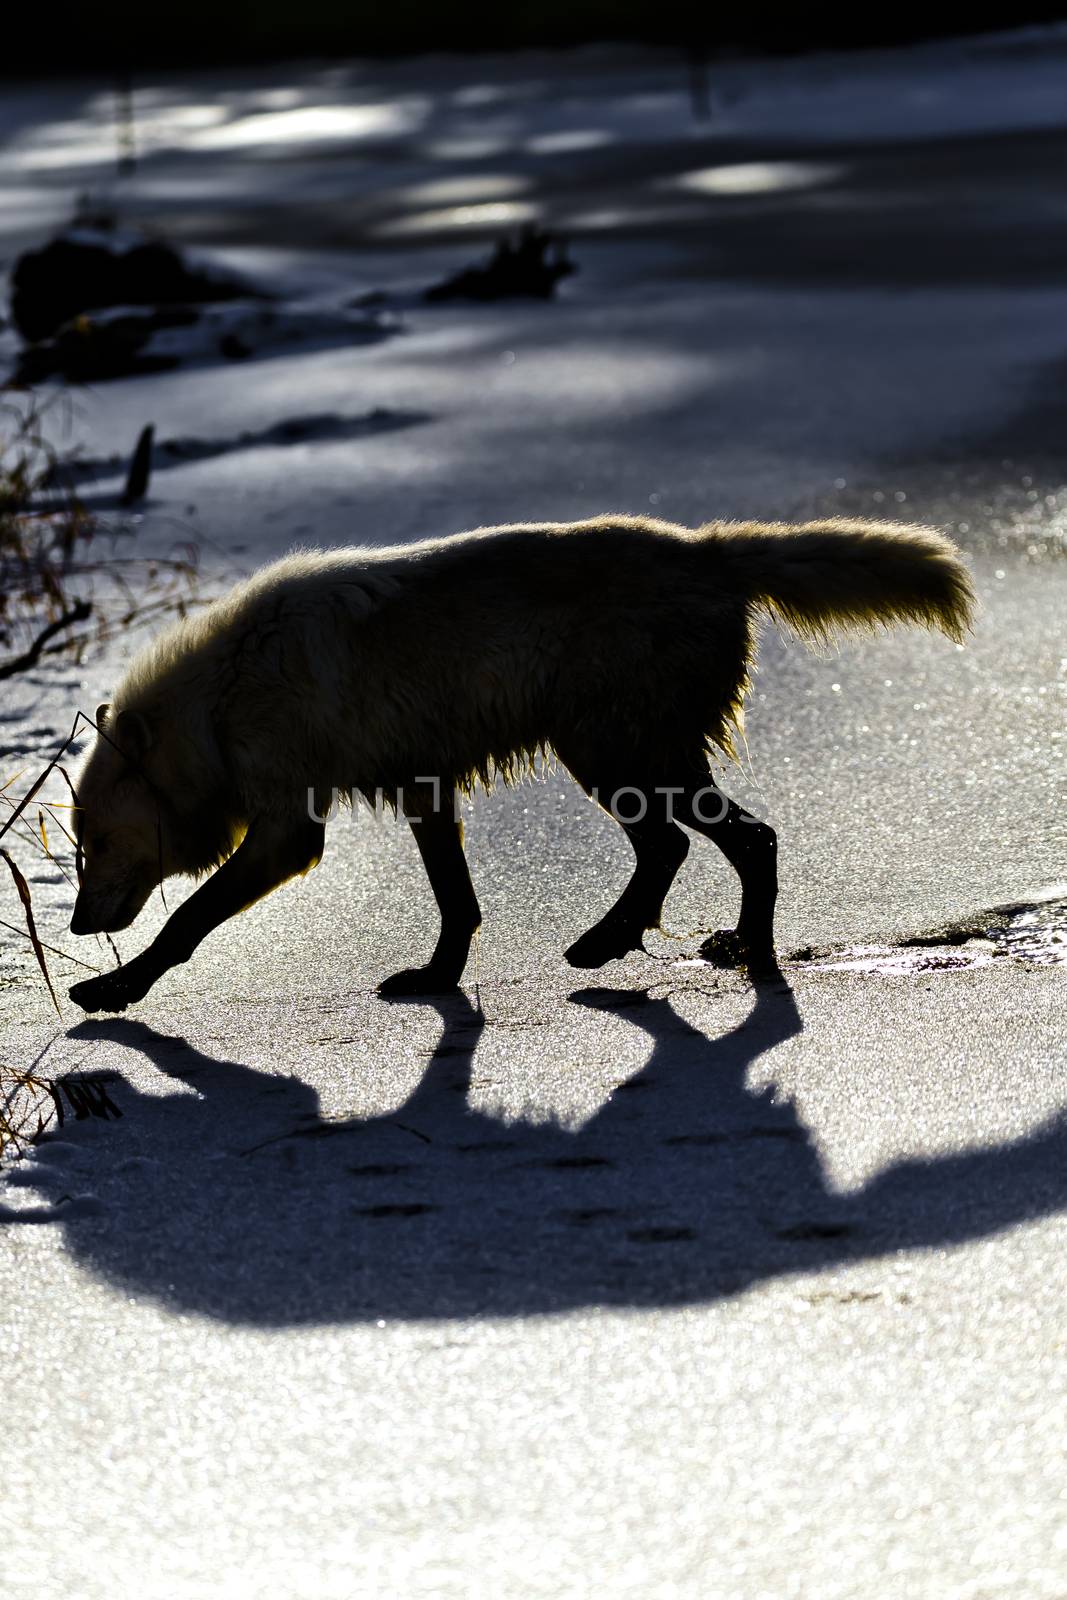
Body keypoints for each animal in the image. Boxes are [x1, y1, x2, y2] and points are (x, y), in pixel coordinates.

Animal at [64, 512, 966, 1011]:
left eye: (93, 845)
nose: (73, 925)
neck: (219, 703)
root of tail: (707, 549)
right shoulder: (422, 789)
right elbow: (455, 904)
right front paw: (436, 978)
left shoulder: (288, 833)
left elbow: (185, 919)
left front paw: (116, 991)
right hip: (625, 760)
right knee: (704, 844)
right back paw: (666, 944)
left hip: (611, 757)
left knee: (724, 841)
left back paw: (671, 948)